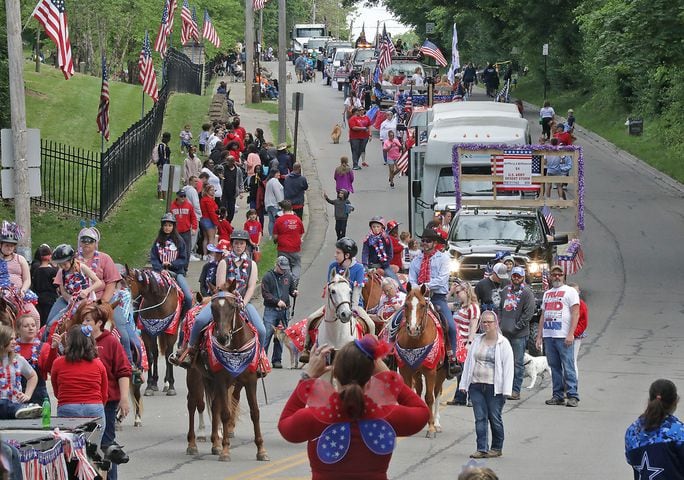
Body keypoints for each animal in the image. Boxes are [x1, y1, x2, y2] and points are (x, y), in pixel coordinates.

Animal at [125, 266, 179, 398]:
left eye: (129, 284)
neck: (158, 301)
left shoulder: (171, 332)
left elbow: (169, 355)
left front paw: (171, 385)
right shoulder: (147, 331)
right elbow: (149, 356)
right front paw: (149, 386)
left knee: (166, 353)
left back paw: (166, 383)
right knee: (155, 353)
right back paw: (155, 382)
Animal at [190, 282, 270, 462]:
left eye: (233, 306)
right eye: (213, 308)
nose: (222, 337)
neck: (235, 349)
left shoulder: (250, 381)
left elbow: (255, 412)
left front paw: (261, 450)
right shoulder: (221, 380)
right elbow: (225, 413)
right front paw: (226, 450)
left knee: (214, 406)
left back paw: (215, 444)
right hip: (194, 376)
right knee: (193, 405)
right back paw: (192, 445)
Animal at [396, 284, 448, 438]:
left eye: (423, 305)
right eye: (406, 305)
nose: (413, 329)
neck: (416, 341)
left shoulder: (430, 371)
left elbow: (429, 397)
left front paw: (431, 428)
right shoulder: (406, 371)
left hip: (440, 373)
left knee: (437, 393)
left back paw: (436, 423)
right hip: (417, 373)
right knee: (419, 391)